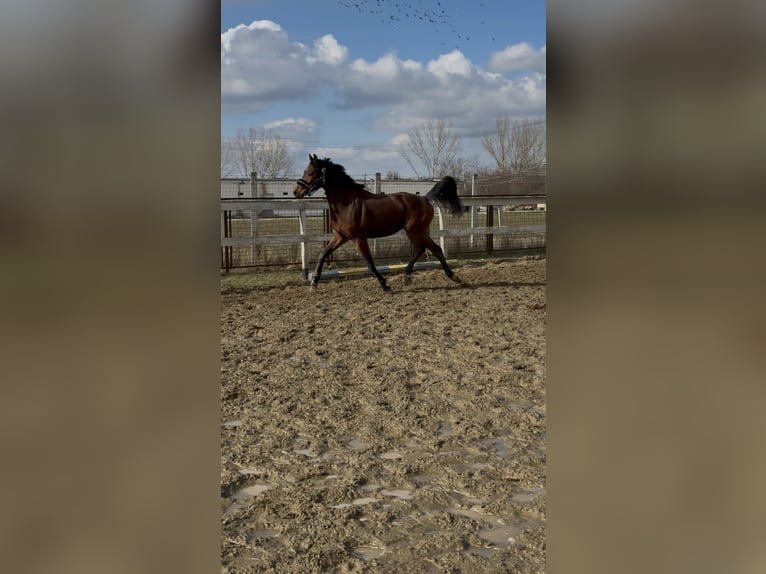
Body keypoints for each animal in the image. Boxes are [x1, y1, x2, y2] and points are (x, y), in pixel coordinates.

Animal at [294, 154, 464, 291]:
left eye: (310, 172)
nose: (296, 192)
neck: (347, 203)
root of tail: (425, 198)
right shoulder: (341, 236)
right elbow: (323, 254)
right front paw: (314, 283)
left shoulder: (359, 239)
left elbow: (370, 263)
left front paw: (385, 285)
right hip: (421, 231)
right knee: (434, 250)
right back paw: (450, 276)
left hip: (414, 231)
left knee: (421, 249)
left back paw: (412, 276)